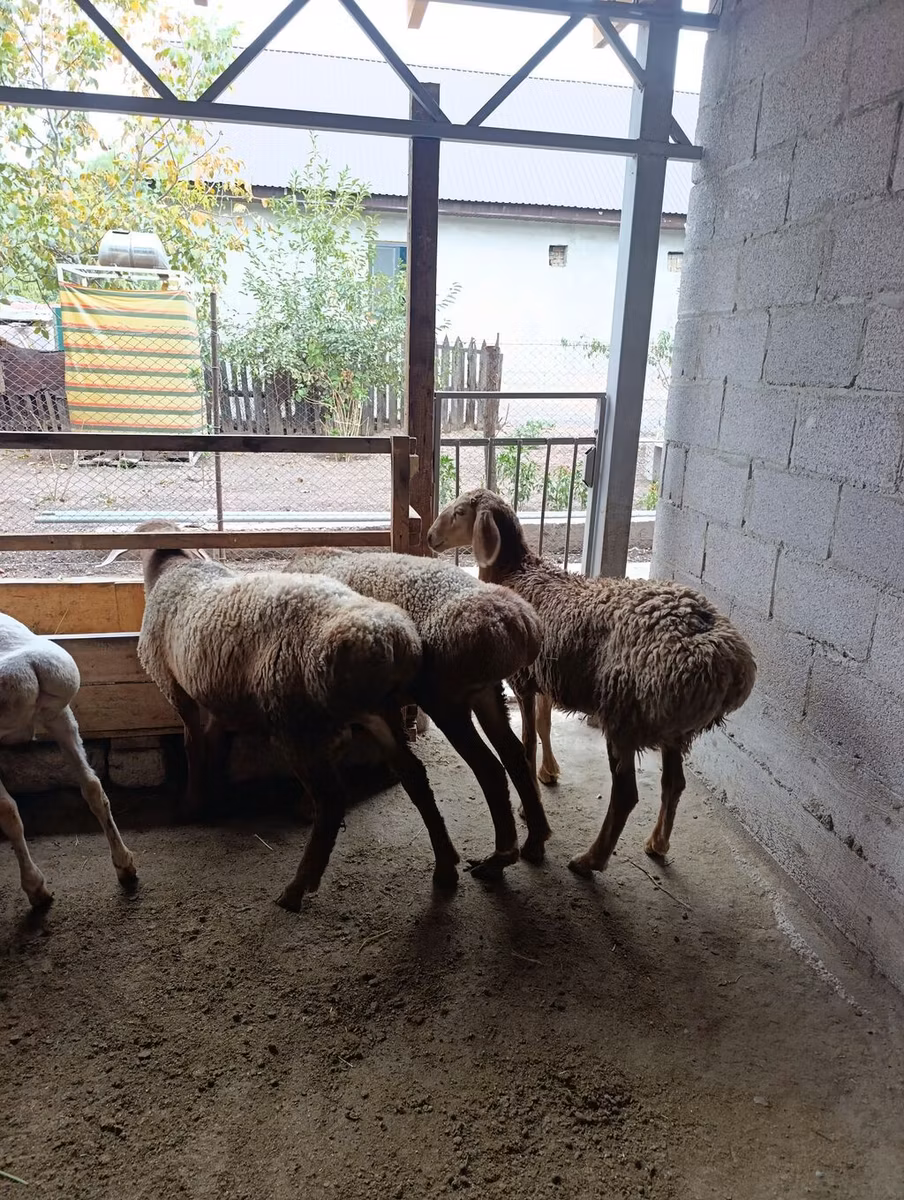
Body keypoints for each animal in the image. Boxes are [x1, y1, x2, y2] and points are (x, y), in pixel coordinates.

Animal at [0, 612, 137, 908]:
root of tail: (27, 666)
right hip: (59, 712)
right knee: (92, 786)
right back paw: (125, 865)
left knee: (8, 811)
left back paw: (36, 888)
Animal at [136, 524, 461, 910]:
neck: (177, 569)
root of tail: (388, 637)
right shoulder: (215, 694)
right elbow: (214, 743)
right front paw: (213, 794)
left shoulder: (173, 685)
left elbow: (193, 744)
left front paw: (191, 804)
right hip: (378, 713)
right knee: (414, 775)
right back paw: (446, 866)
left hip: (295, 721)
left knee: (332, 799)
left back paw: (297, 888)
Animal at [283, 548, 552, 877]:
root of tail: (518, 626)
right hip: (486, 692)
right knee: (514, 754)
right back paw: (535, 839)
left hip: (447, 700)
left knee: (488, 767)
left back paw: (498, 858)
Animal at [427, 489, 756, 877]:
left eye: (460, 512)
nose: (430, 538)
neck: (518, 572)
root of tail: (722, 657)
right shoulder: (546, 675)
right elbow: (544, 725)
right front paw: (549, 773)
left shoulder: (524, 679)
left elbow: (527, 741)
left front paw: (529, 801)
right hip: (672, 726)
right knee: (673, 783)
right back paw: (657, 844)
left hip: (625, 712)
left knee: (627, 794)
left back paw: (591, 860)